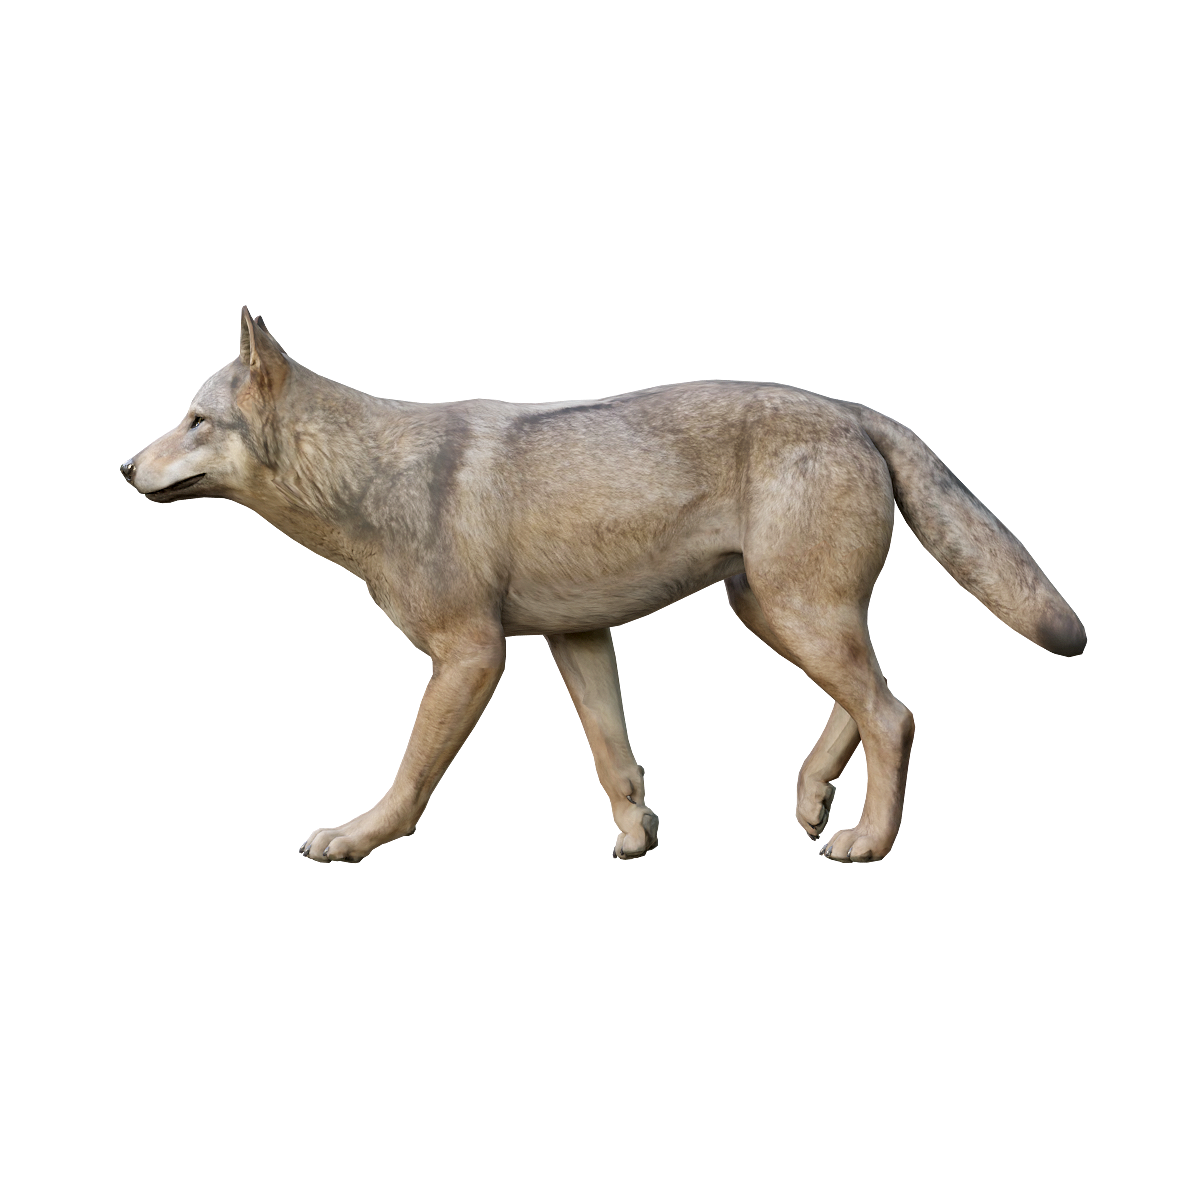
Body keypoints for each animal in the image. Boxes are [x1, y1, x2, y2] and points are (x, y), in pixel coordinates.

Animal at [123, 308, 1086, 863]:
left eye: (195, 422)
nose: (129, 472)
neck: (370, 477)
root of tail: (856, 409)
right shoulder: (576, 639)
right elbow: (613, 760)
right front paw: (633, 841)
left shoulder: (471, 656)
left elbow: (408, 775)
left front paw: (357, 841)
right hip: (776, 611)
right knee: (887, 695)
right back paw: (816, 801)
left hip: (794, 614)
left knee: (894, 714)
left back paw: (867, 841)